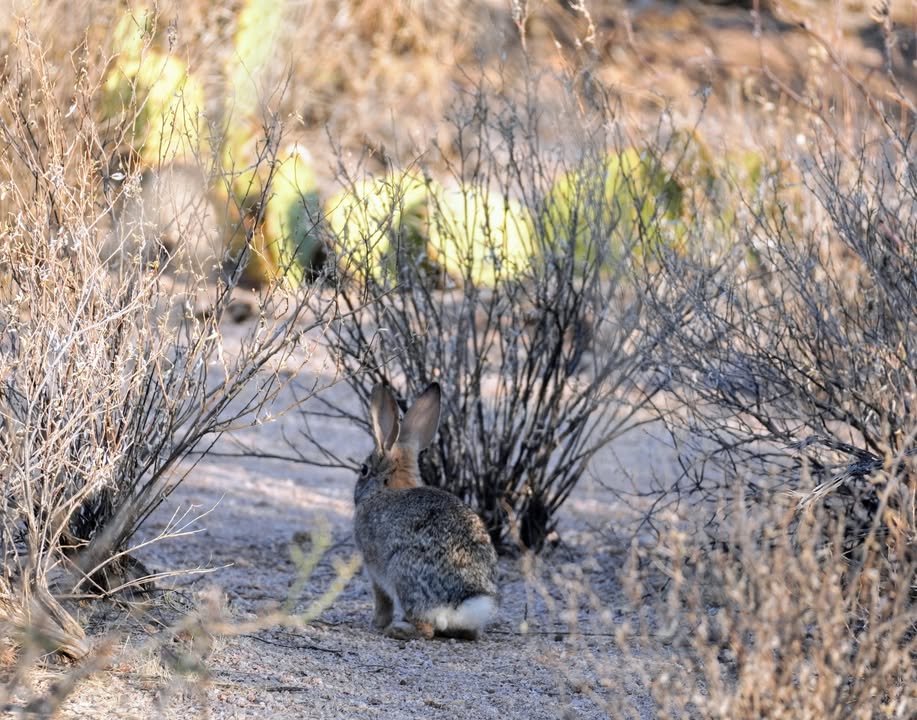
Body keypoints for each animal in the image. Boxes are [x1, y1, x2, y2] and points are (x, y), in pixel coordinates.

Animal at [353, 382, 499, 640]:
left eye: (364, 469)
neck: (386, 488)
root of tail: (464, 602)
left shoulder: (374, 569)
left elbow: (382, 600)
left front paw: (377, 623)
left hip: (402, 576)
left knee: (427, 629)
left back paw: (397, 629)